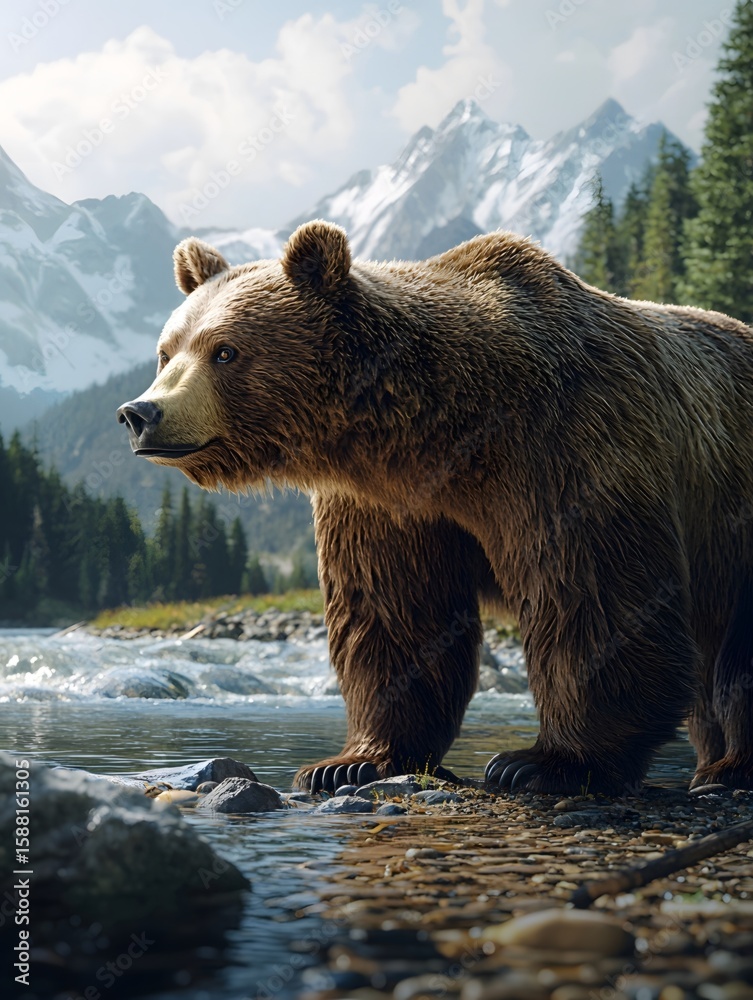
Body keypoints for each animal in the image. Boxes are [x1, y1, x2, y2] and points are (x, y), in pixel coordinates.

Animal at [117, 220, 753, 796]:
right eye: (166, 352)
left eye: (225, 351)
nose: (140, 413)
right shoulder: (390, 506)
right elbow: (396, 614)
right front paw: (349, 763)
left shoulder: (568, 447)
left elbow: (591, 595)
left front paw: (546, 762)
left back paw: (728, 770)